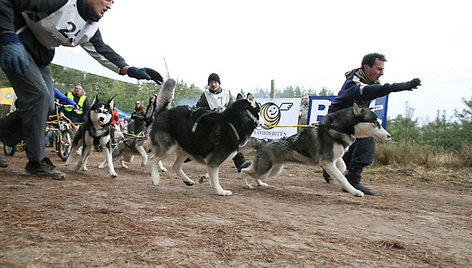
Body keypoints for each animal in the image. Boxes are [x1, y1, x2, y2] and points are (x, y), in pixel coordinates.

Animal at [242, 102, 390, 197]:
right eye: (376, 123)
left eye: (379, 123)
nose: (389, 136)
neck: (337, 128)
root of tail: (263, 143)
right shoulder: (327, 161)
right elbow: (342, 178)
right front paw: (354, 191)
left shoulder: (334, 158)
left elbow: (342, 168)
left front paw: (332, 177)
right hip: (265, 169)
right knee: (244, 171)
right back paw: (245, 185)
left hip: (272, 171)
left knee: (255, 175)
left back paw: (260, 183)